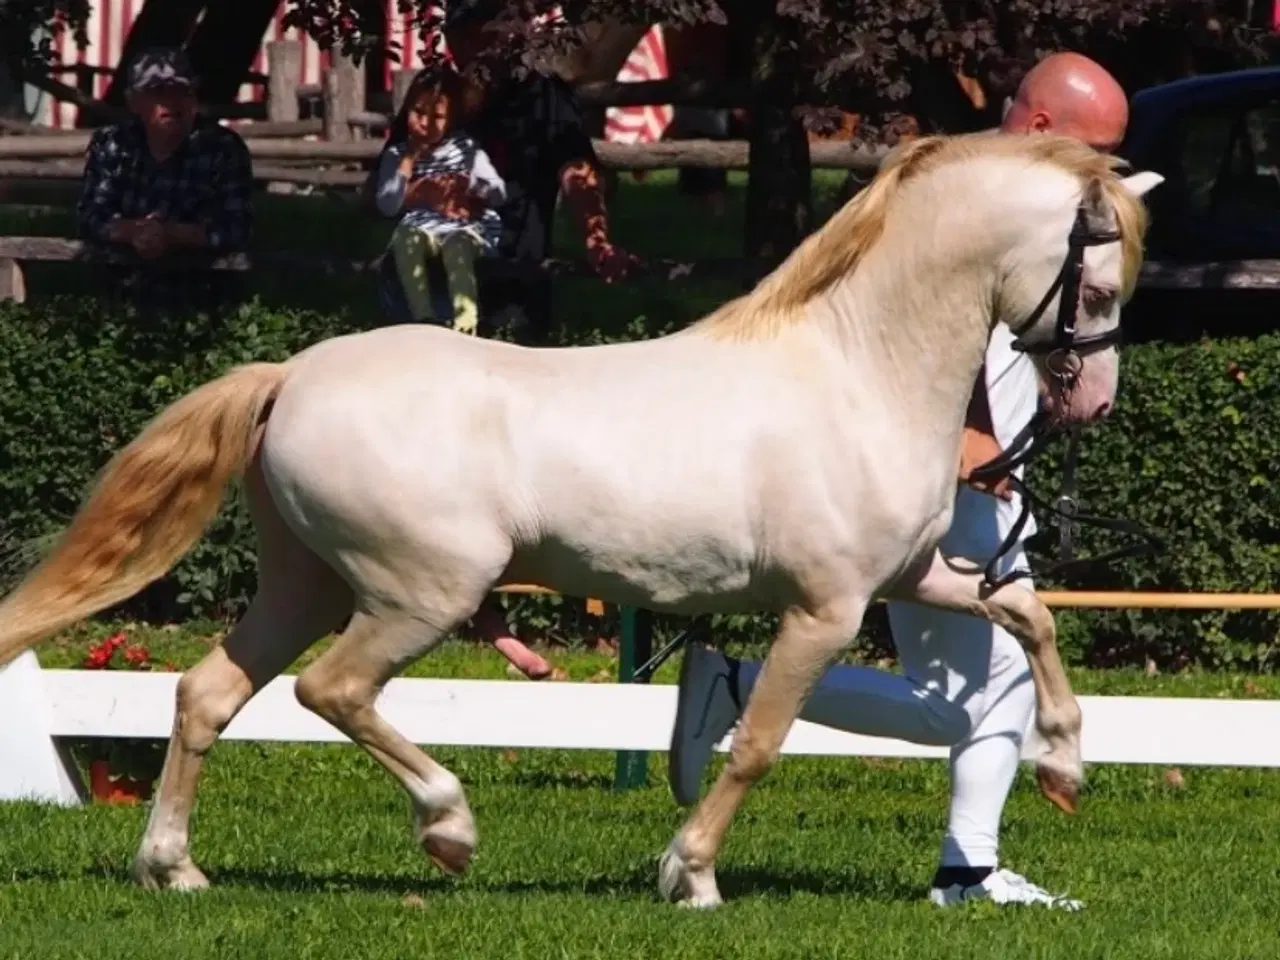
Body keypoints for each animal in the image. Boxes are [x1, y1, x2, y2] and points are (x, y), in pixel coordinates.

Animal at [0, 129, 1162, 911]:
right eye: (1100, 284)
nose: (1091, 404)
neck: (853, 369)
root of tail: (289, 377)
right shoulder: (825, 610)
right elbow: (758, 742)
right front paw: (690, 876)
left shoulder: (907, 577)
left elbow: (1028, 614)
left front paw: (1064, 764)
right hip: (421, 593)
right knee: (331, 691)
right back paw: (450, 831)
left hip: (305, 584)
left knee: (205, 693)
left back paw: (174, 869)